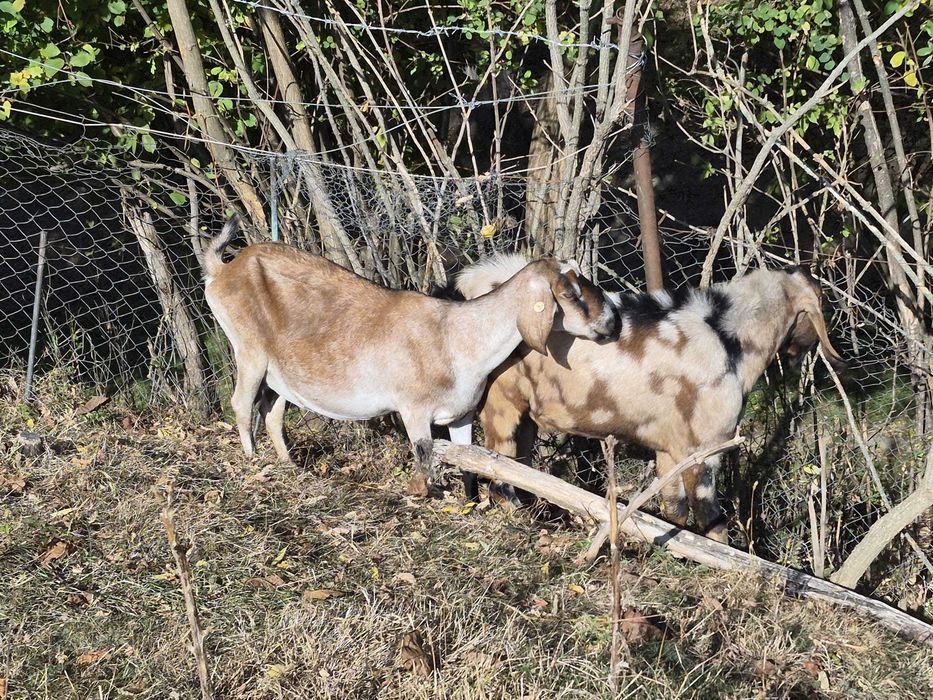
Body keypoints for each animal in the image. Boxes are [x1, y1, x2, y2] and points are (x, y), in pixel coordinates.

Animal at [202, 220, 617, 498]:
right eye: (570, 293)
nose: (612, 320)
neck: (456, 339)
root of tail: (224, 268)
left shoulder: (461, 413)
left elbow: (469, 460)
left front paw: (469, 504)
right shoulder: (414, 410)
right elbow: (425, 458)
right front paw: (428, 495)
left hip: (278, 373)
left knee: (271, 412)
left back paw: (289, 466)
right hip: (249, 350)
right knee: (241, 404)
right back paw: (253, 463)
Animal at [458, 256, 846, 542]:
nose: (805, 348)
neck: (727, 339)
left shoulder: (669, 450)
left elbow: (675, 512)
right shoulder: (703, 449)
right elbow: (711, 519)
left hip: (524, 411)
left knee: (518, 464)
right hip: (501, 403)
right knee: (497, 470)